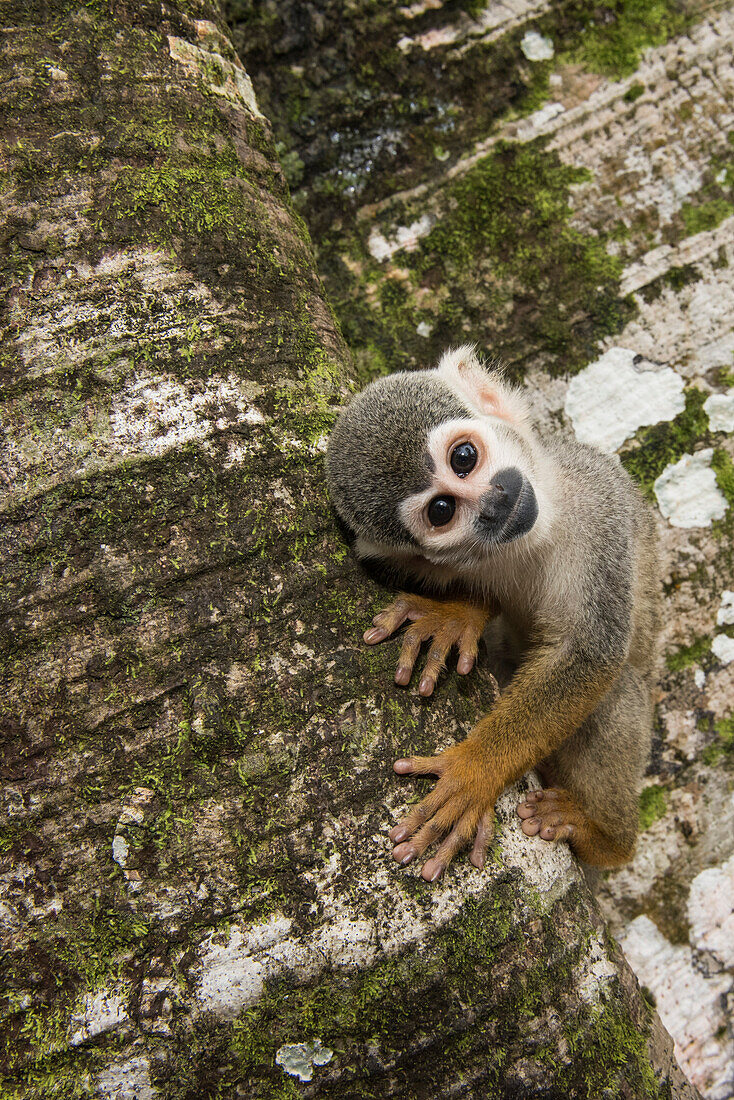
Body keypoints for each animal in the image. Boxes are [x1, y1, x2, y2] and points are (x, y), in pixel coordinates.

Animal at [327, 352, 660, 884]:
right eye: (442, 510)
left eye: (464, 458)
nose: (494, 502)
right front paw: (456, 614)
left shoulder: (599, 499)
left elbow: (588, 654)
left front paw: (476, 771)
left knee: (618, 688)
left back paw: (603, 839)